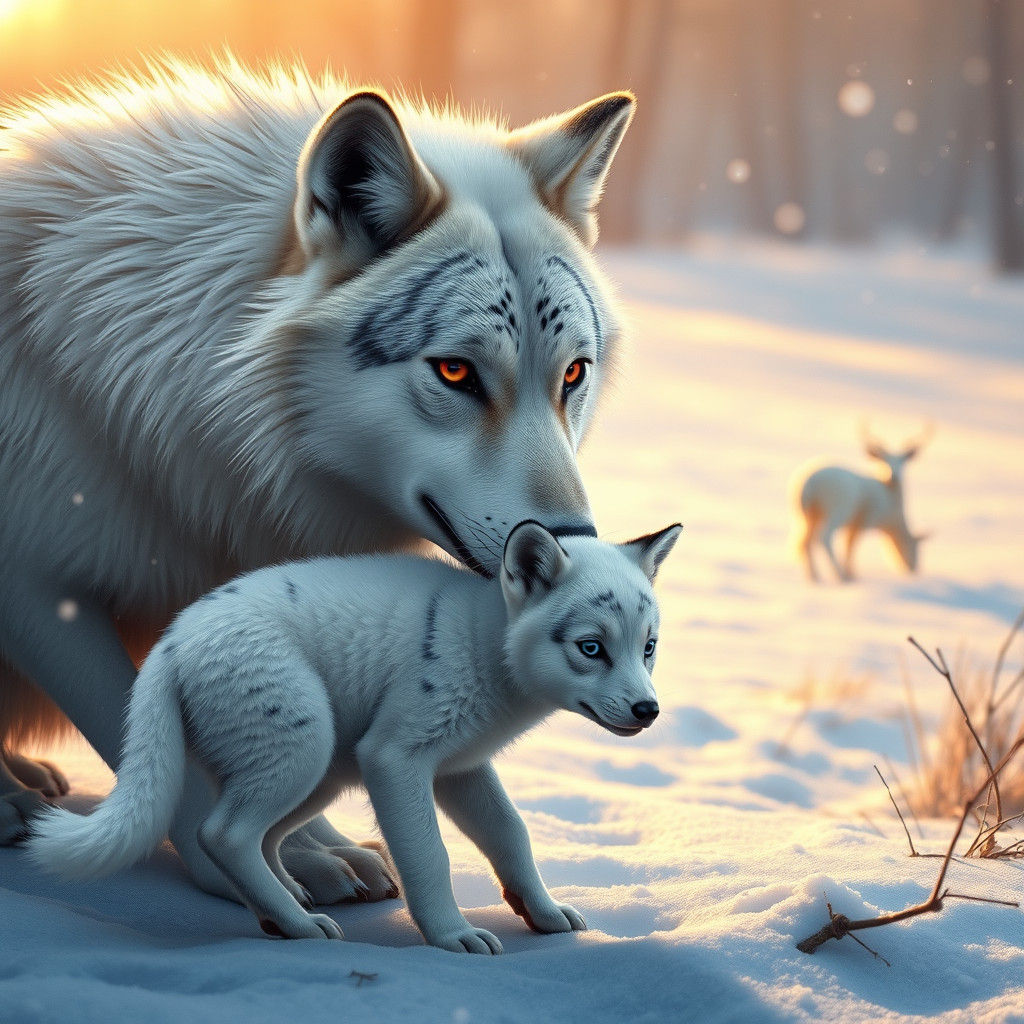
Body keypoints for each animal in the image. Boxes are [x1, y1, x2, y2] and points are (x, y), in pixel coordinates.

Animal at [0, 58, 634, 902]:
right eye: (456, 372)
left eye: (572, 374)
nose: (568, 549)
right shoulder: (39, 591)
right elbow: (148, 737)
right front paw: (255, 868)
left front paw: (310, 850)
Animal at [28, 520, 681, 953]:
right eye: (591, 648)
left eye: (648, 647)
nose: (648, 710)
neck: (484, 641)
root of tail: (171, 641)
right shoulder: (395, 758)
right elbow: (430, 855)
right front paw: (452, 937)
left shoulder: (460, 768)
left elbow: (511, 836)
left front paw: (540, 914)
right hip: (308, 749)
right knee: (222, 834)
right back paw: (299, 926)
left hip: (322, 770)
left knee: (261, 837)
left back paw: (287, 905)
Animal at [793, 424, 933, 583]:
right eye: (915, 545)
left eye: (902, 462)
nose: (913, 568)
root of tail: (810, 484)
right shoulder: (865, 520)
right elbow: (851, 547)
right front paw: (850, 575)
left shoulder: (854, 524)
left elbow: (849, 545)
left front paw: (850, 574)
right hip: (837, 510)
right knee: (824, 537)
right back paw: (839, 576)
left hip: (807, 515)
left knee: (805, 541)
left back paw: (814, 577)